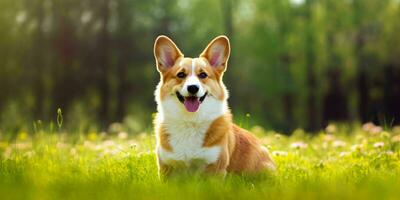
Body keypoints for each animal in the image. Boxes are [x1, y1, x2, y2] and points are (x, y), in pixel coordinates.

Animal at [153, 35, 276, 177]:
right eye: (181, 75)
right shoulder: (167, 168)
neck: (190, 121)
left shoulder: (215, 168)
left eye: (203, 75)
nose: (193, 88)